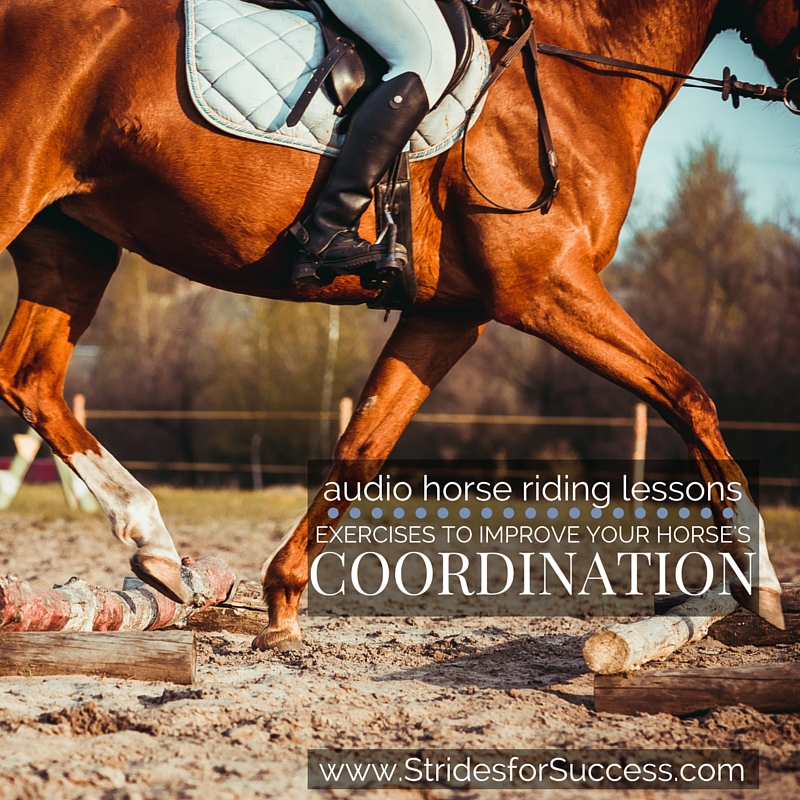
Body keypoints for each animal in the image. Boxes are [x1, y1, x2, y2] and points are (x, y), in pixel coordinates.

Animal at [0, 0, 795, 649]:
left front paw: (282, 603)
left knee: (29, 379)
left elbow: (364, 445)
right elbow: (687, 395)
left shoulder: (451, 315)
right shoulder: (546, 287)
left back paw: (158, 548)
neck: (580, 73)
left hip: (70, 241)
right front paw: (762, 587)